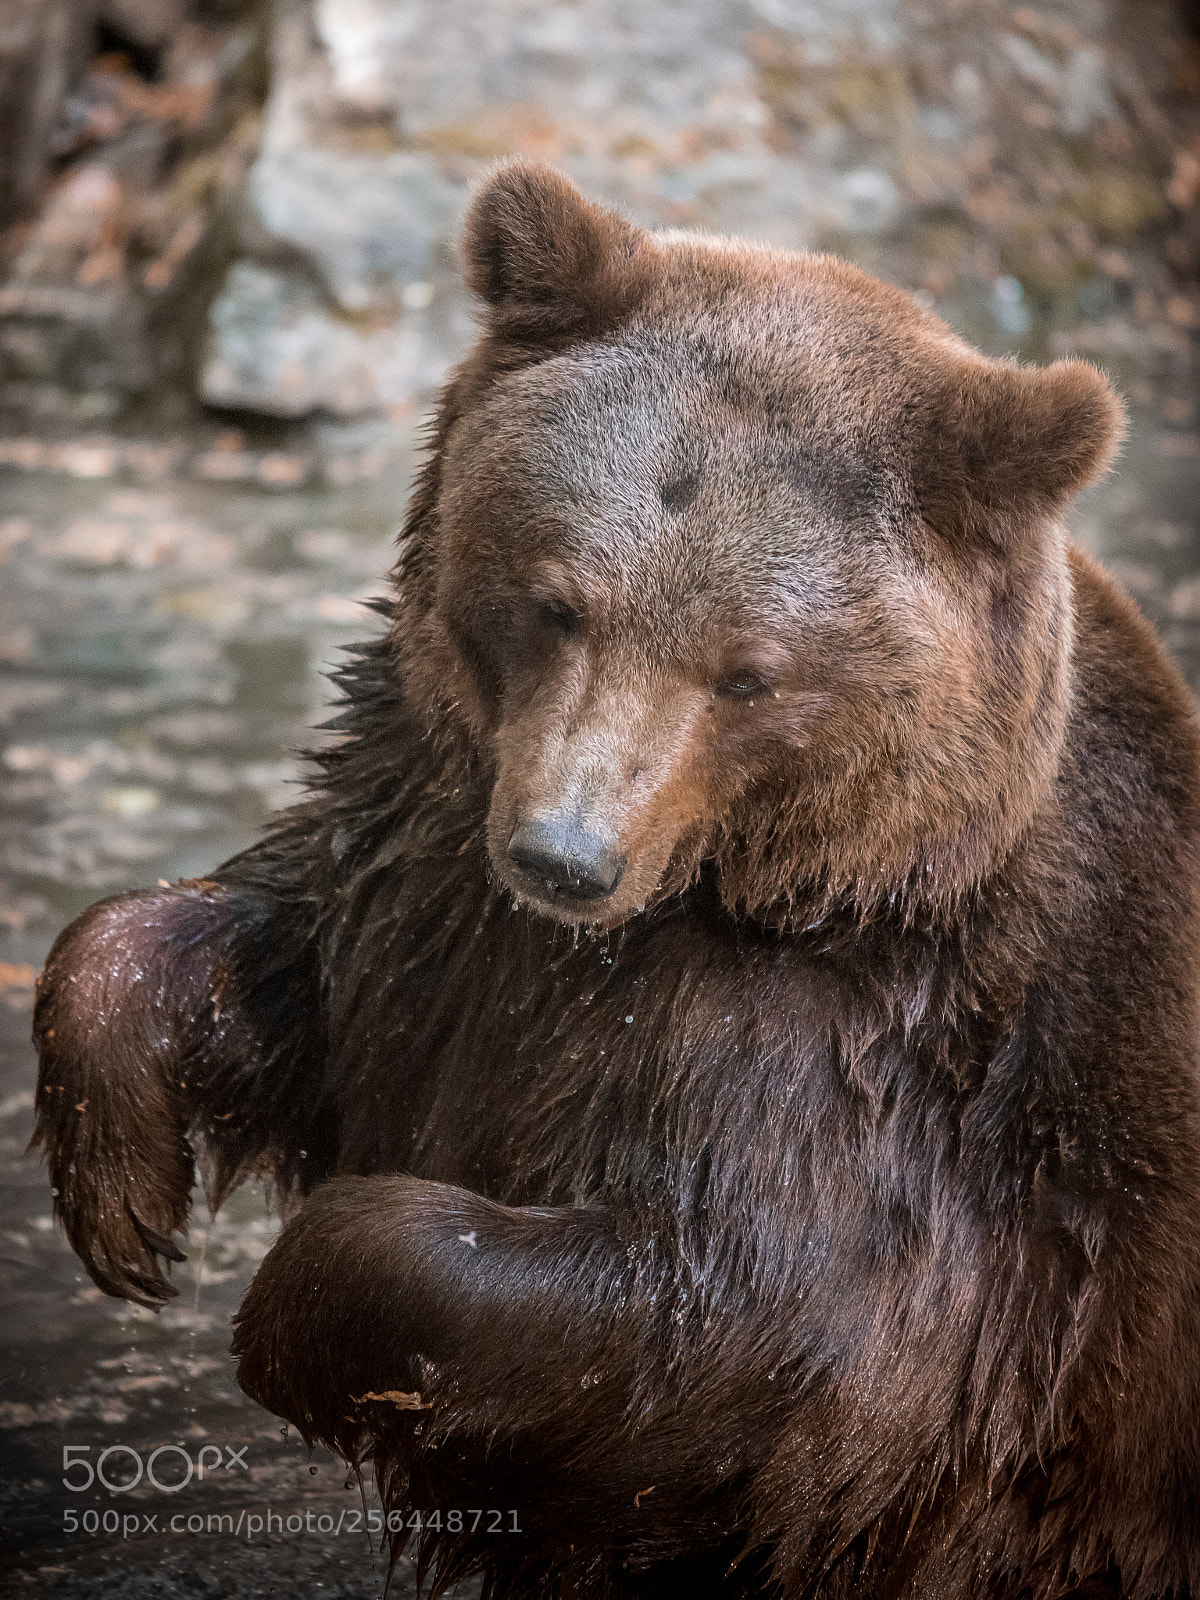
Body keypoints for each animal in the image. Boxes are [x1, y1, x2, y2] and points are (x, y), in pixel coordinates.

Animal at [30, 161, 1200, 1600]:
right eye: (557, 599)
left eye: (749, 671)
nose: (565, 856)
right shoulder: (430, 876)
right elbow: (282, 963)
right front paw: (126, 1202)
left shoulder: (875, 1067)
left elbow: (751, 1322)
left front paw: (284, 1322)